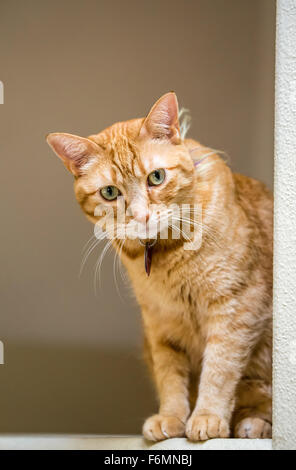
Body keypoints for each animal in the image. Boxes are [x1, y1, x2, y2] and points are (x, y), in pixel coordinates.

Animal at [46, 92, 272, 440]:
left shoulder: (236, 308)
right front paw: (172, 417)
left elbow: (219, 369)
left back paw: (253, 424)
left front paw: (207, 416)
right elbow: (170, 378)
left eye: (156, 177)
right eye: (110, 192)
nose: (141, 216)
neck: (168, 256)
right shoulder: (161, 325)